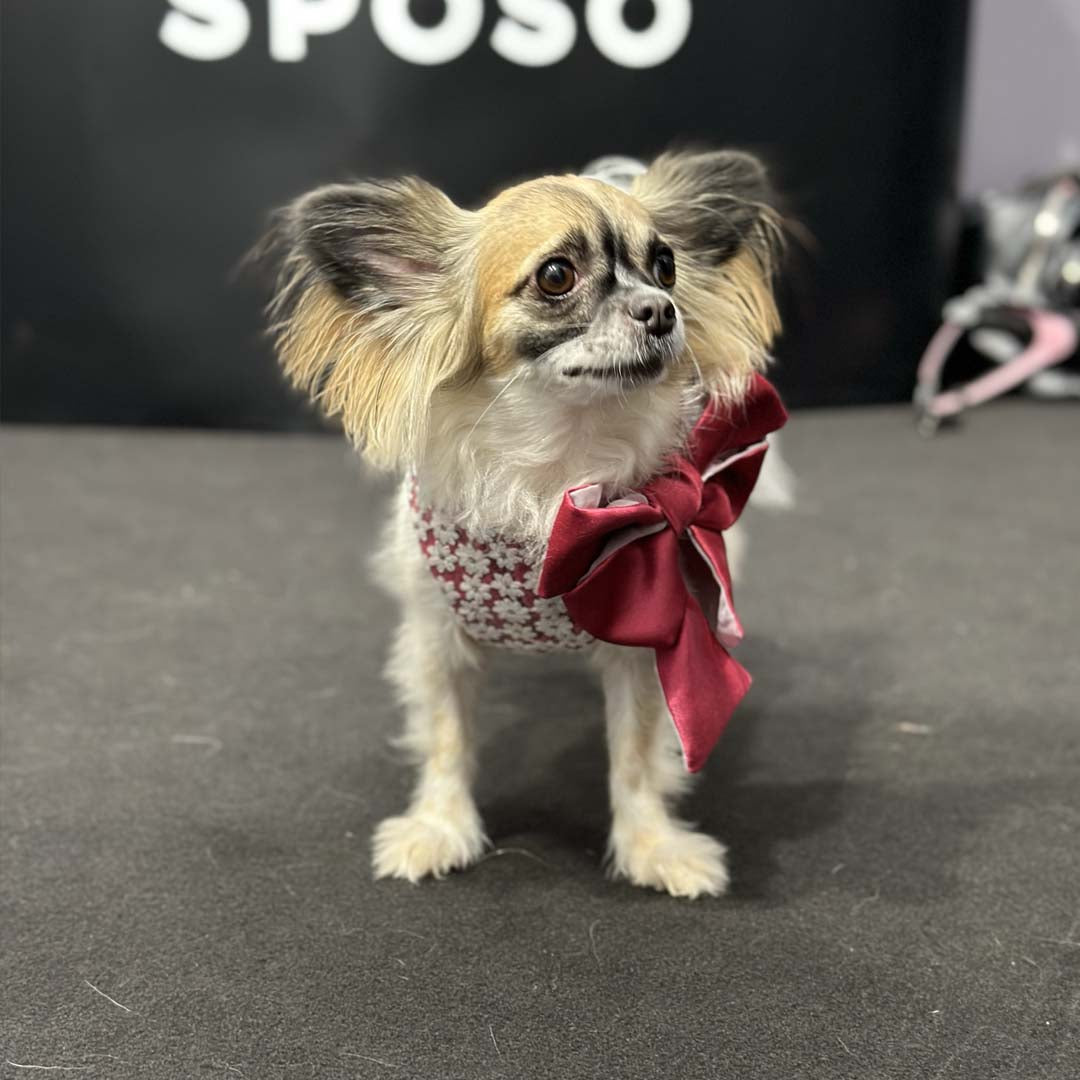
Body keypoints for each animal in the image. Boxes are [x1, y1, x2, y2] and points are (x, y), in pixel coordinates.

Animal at [259, 150, 786, 894]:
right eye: (556, 276)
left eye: (666, 266)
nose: (663, 309)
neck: (556, 472)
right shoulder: (437, 639)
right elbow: (446, 740)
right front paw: (438, 828)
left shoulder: (645, 644)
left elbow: (636, 754)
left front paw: (652, 844)